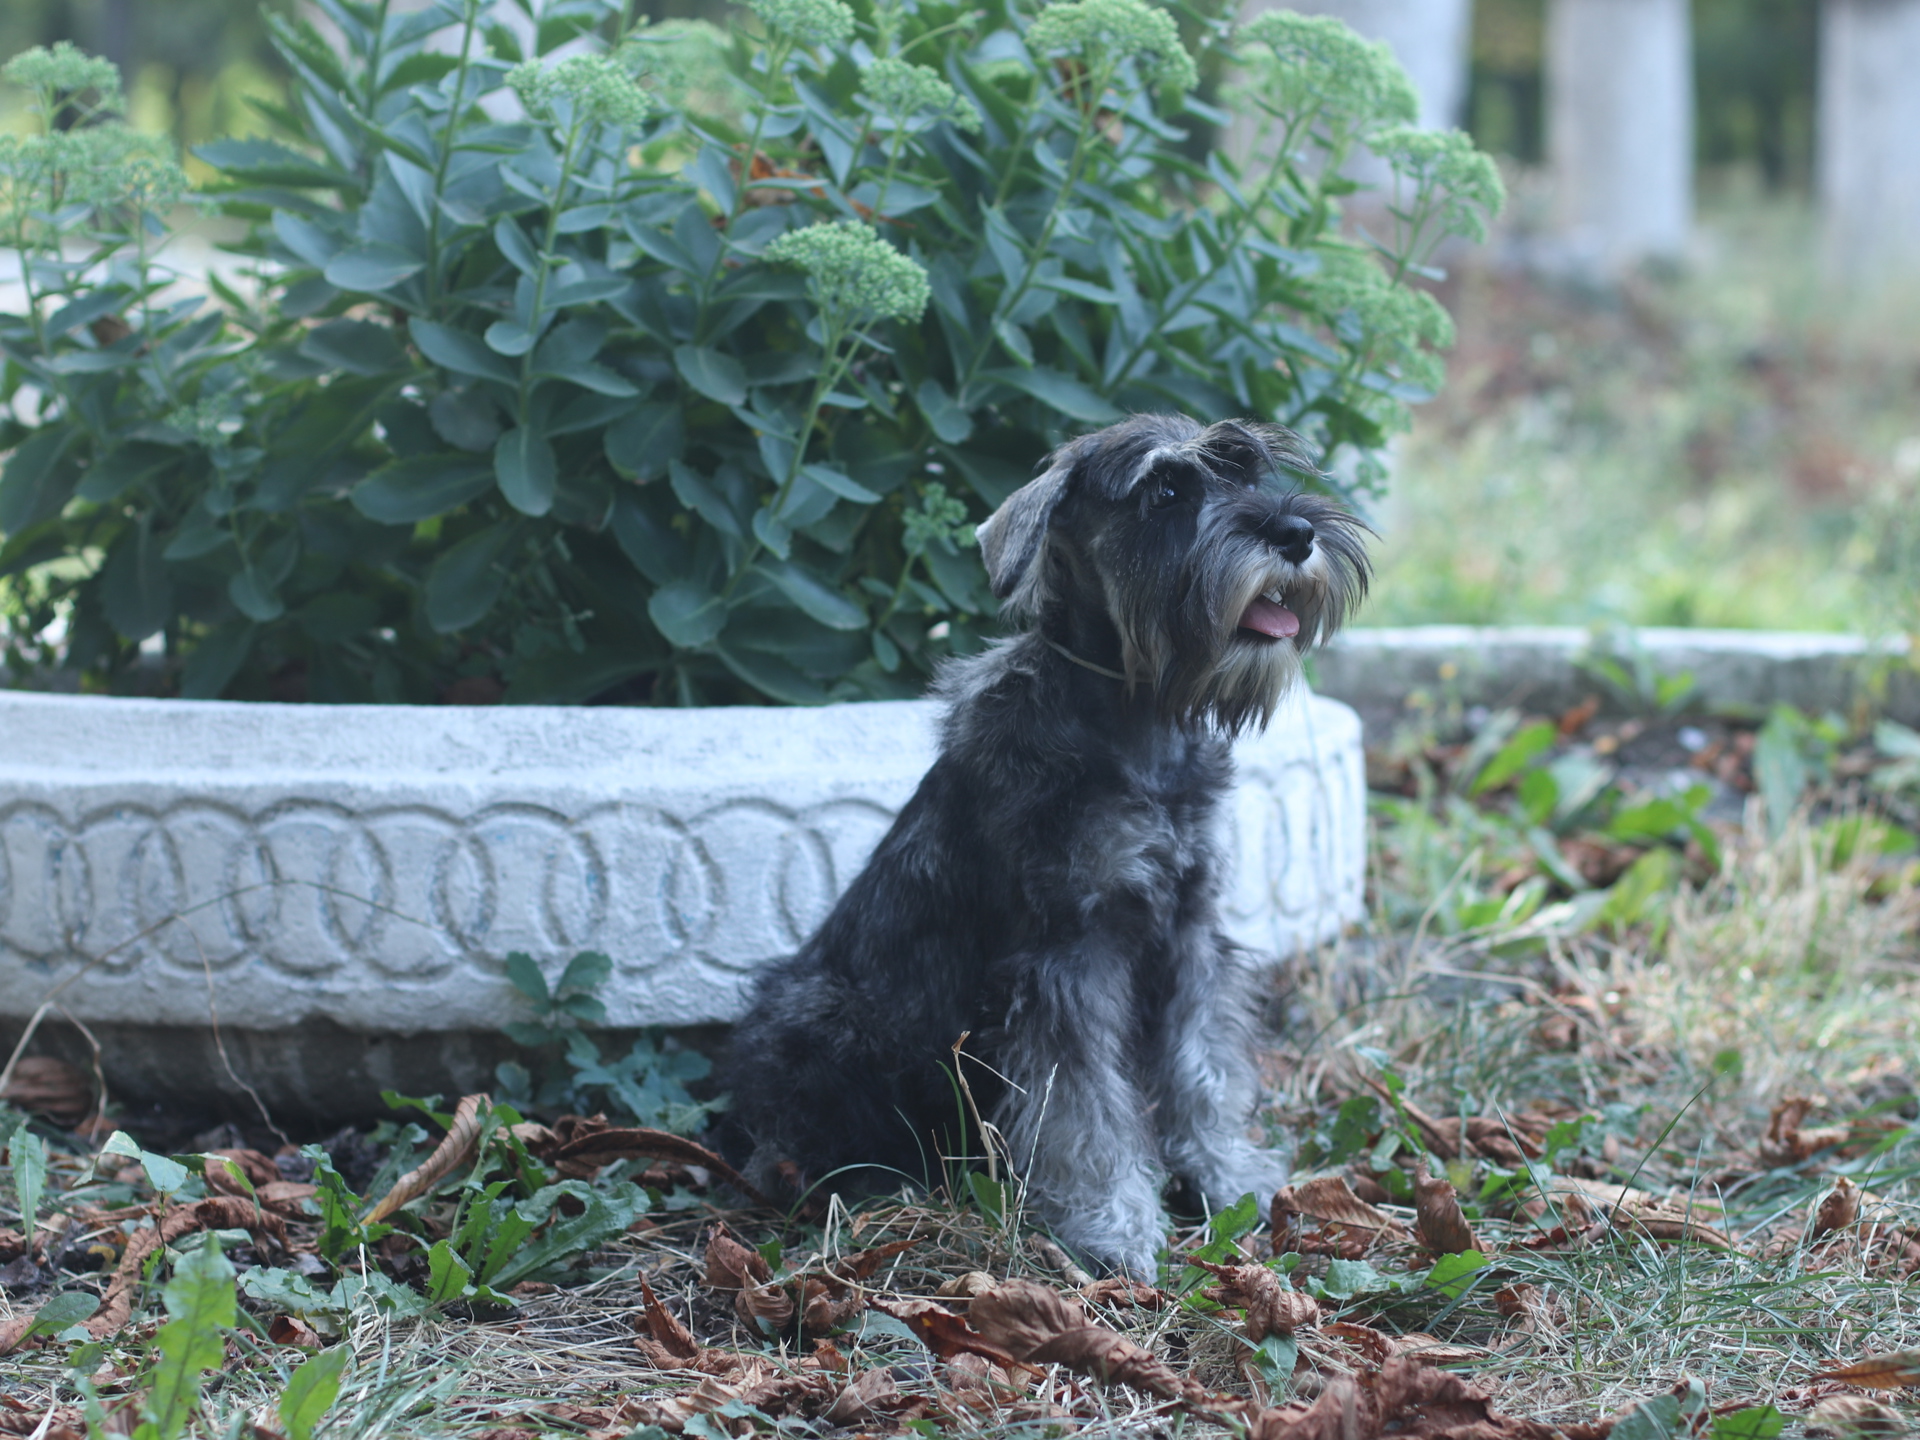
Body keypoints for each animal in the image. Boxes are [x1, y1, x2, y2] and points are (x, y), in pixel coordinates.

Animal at [718, 414, 1367, 1274]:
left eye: (1249, 471)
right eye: (1166, 491)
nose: (1295, 532)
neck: (1136, 719)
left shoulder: (1191, 932)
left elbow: (1204, 1064)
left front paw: (1227, 1177)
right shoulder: (1068, 955)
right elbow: (1083, 1105)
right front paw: (1114, 1225)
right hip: (829, 1018)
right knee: (792, 1135)